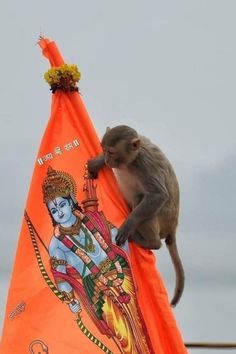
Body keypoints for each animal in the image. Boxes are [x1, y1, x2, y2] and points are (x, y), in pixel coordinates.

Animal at [87, 126, 184, 306]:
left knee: (141, 198)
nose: (107, 159)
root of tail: (173, 225)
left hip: (163, 219)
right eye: (104, 150)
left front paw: (127, 225)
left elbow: (158, 195)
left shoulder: (144, 165)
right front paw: (97, 162)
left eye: (111, 152)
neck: (131, 161)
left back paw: (150, 242)